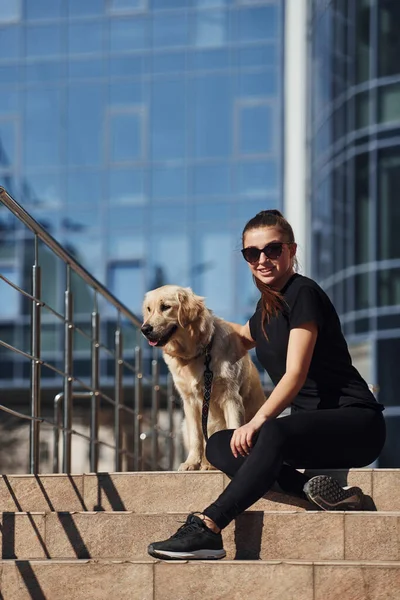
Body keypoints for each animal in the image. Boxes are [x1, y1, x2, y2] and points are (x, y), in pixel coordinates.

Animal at [141, 284, 266, 472]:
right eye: (149, 309)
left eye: (165, 307)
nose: (145, 329)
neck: (197, 354)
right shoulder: (190, 402)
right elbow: (196, 437)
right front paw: (191, 462)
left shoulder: (231, 397)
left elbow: (234, 429)